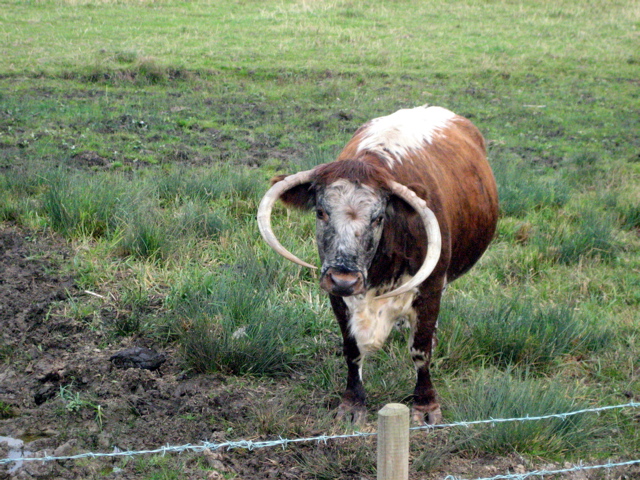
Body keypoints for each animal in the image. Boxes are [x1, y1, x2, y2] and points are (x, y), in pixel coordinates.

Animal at [257, 105, 499, 424]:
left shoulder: (431, 288)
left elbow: (420, 349)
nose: (345, 279)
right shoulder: (336, 295)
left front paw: (425, 405)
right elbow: (351, 350)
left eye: (378, 218)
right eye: (321, 212)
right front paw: (353, 403)